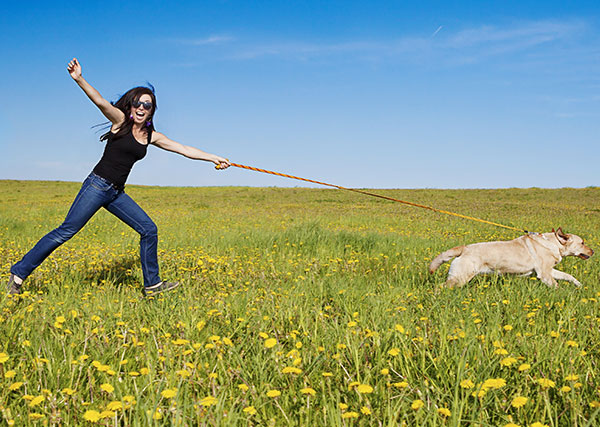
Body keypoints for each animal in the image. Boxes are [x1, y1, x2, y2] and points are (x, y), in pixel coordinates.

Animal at [428, 229, 592, 290]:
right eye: (583, 243)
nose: (594, 251)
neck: (554, 244)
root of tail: (464, 248)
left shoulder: (549, 271)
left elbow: (569, 276)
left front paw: (579, 285)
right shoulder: (545, 274)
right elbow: (557, 285)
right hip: (460, 278)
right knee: (439, 287)